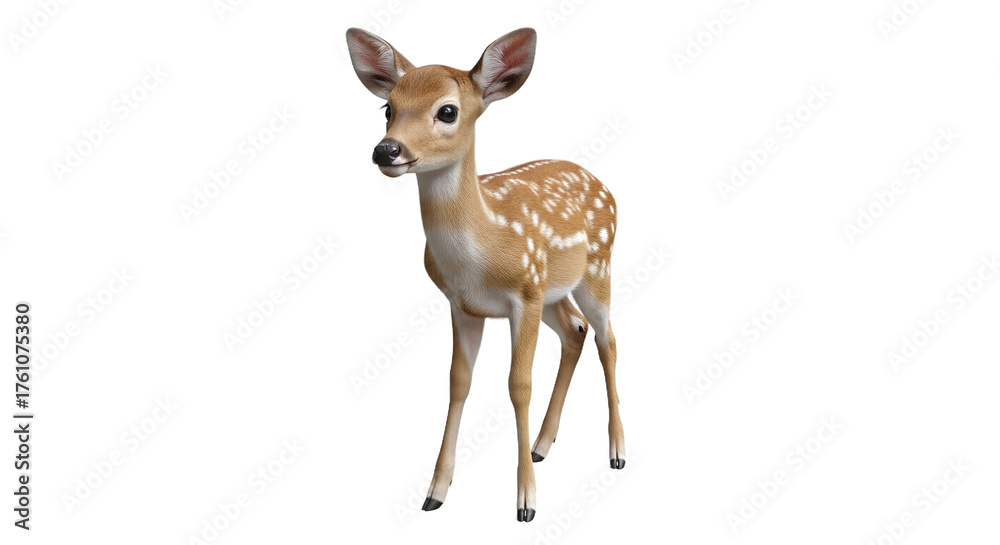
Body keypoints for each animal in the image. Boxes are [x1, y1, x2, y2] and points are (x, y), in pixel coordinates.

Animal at [346, 27, 625, 523]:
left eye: (447, 110)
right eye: (388, 108)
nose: (386, 149)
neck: (479, 252)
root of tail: (605, 186)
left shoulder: (524, 294)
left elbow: (518, 385)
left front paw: (526, 502)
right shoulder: (462, 305)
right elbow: (458, 382)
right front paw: (436, 491)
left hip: (597, 267)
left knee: (607, 339)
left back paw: (616, 451)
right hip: (554, 292)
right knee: (575, 331)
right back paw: (542, 445)